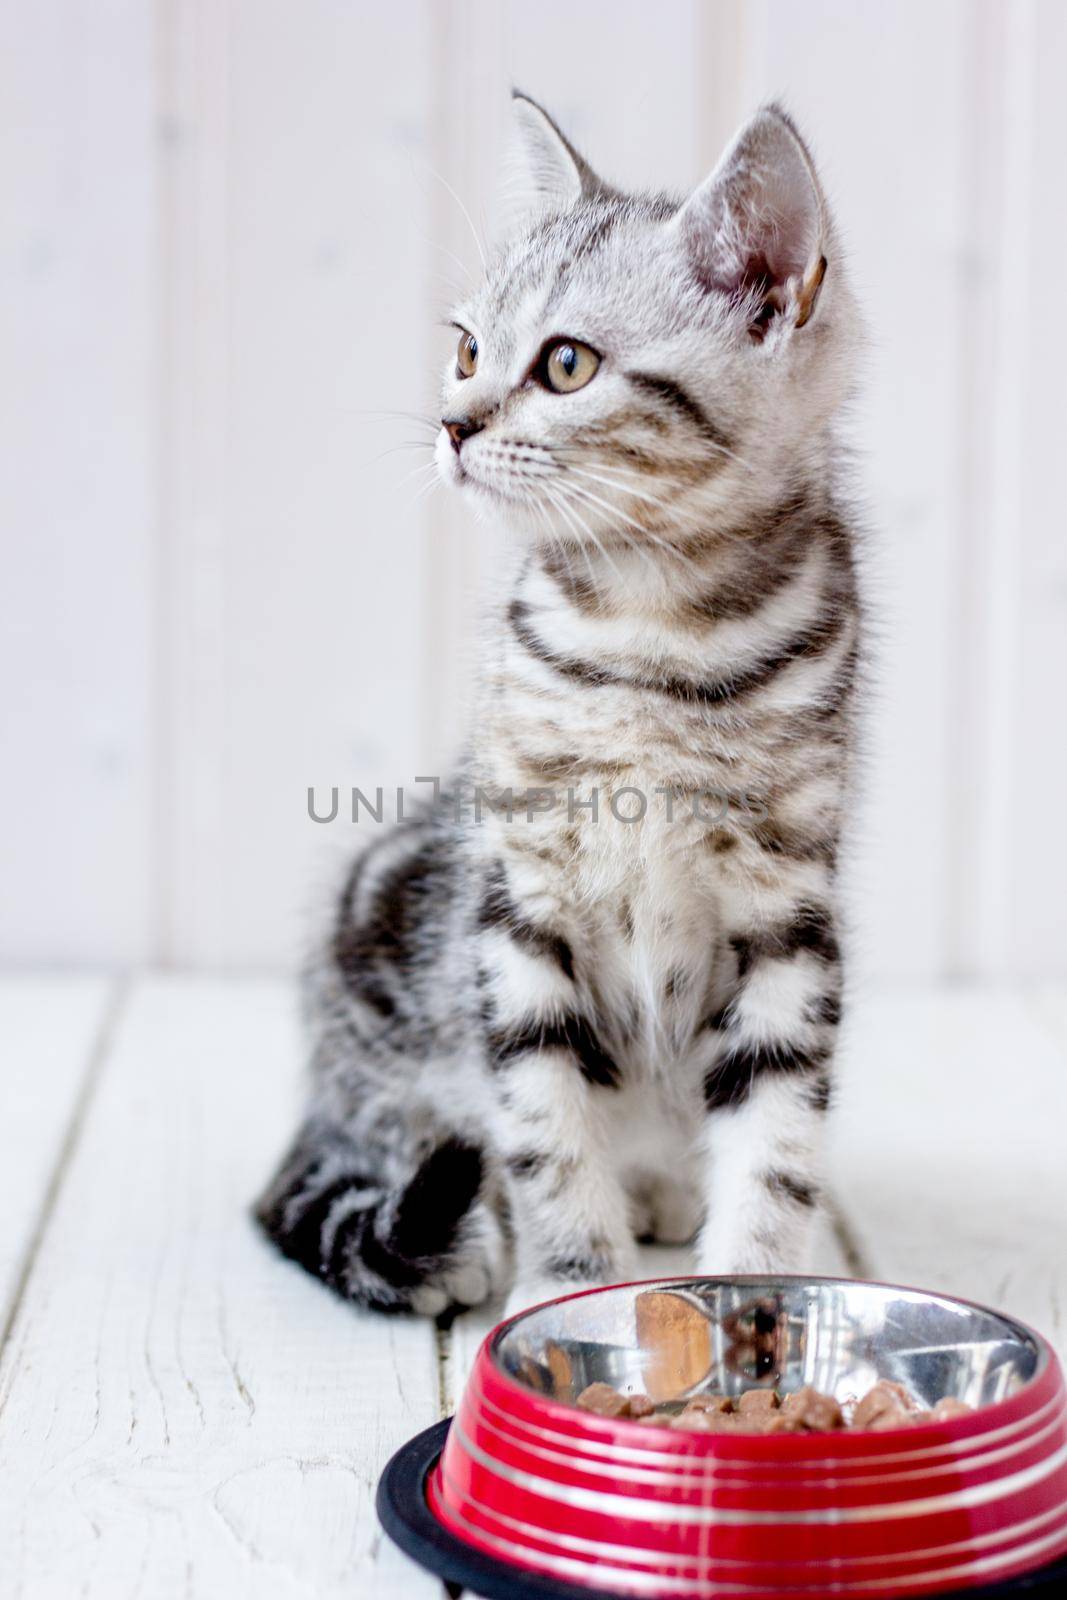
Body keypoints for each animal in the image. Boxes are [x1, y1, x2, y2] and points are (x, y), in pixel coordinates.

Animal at [255, 96, 857, 1312]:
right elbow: (543, 1115)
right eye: (466, 350)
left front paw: (755, 1294)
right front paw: (571, 1278)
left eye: (566, 364)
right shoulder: (515, 898)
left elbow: (776, 1128)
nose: (452, 424)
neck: (654, 633)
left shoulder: (788, 910)